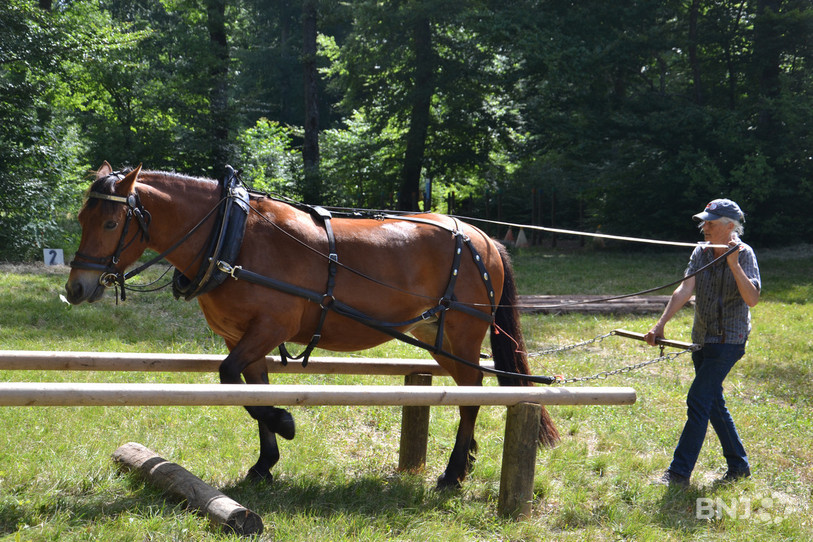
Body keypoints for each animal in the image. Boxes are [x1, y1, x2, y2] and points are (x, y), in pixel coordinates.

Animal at [65, 162, 559, 488]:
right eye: (82, 217)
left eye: (111, 221)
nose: (76, 288)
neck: (234, 237)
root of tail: (482, 237)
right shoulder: (245, 339)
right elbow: (250, 391)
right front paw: (264, 463)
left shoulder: (269, 329)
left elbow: (230, 378)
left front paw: (284, 422)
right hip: (438, 337)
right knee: (470, 390)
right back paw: (465, 462)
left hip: (462, 332)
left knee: (472, 395)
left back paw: (453, 473)